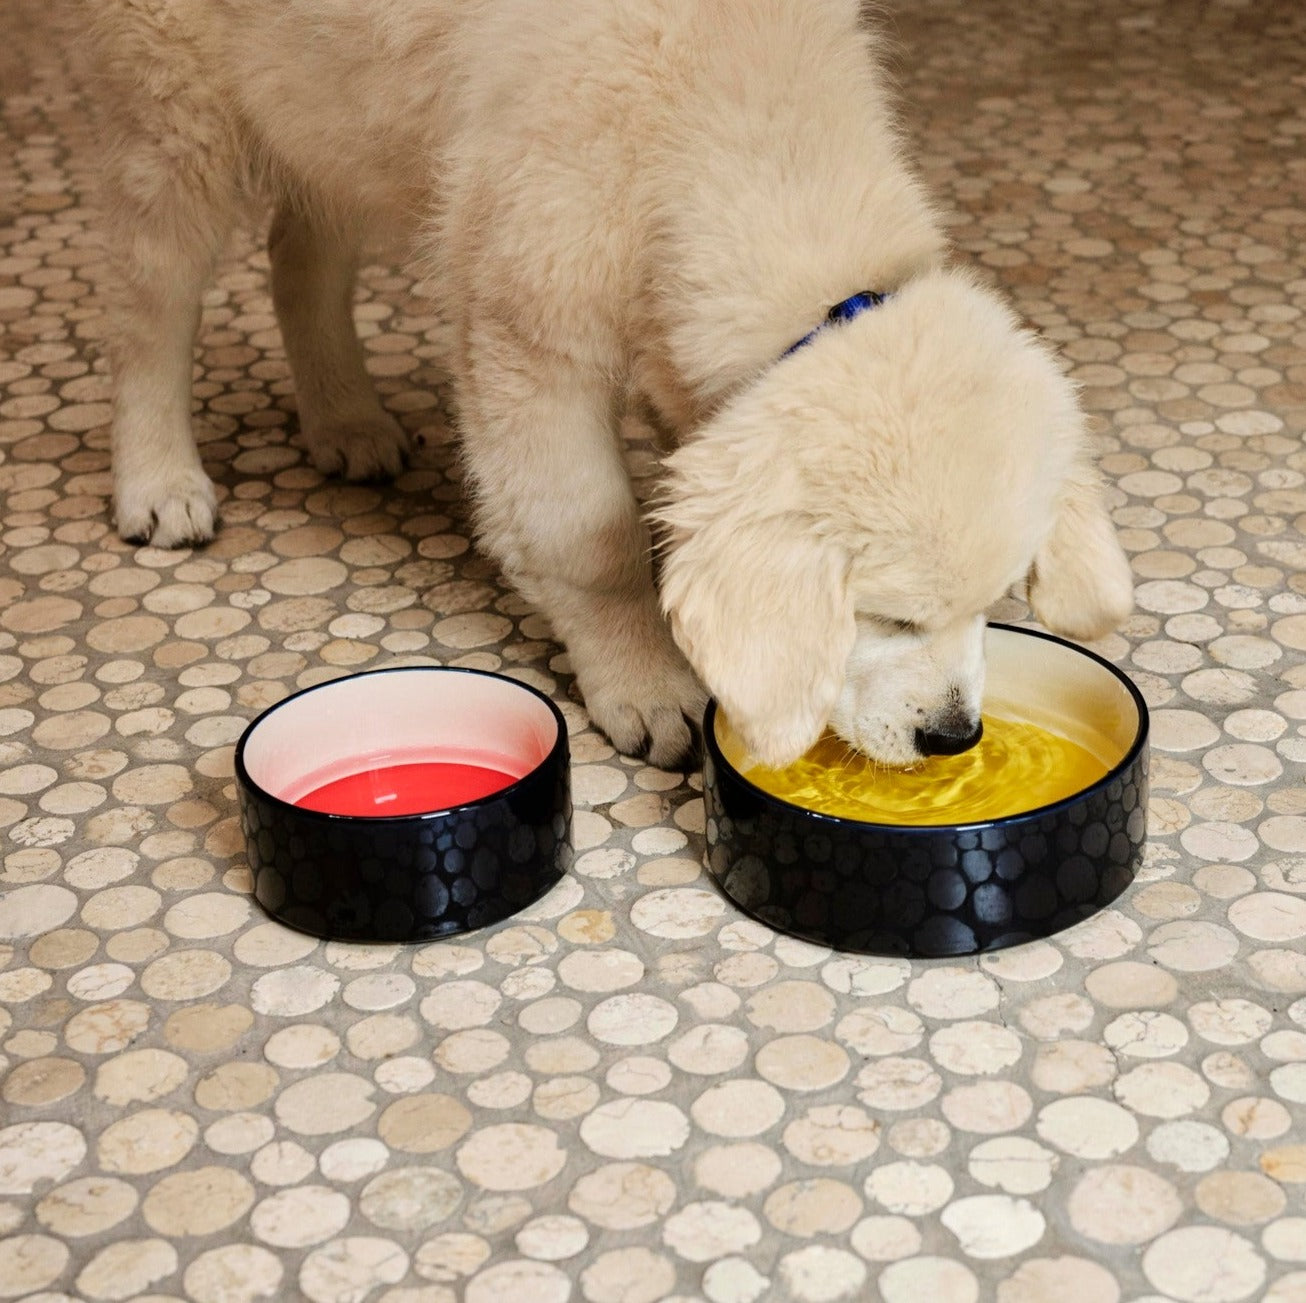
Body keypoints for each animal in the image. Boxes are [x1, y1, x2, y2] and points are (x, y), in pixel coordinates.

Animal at [89, 0, 1133, 767]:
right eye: (890, 615)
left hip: (335, 108)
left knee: (300, 246)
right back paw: (160, 480)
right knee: (150, 300)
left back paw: (345, 418)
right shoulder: (529, 330)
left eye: (996, 601)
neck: (725, 128)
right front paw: (645, 681)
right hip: (174, 105)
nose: (953, 735)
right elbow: (588, 536)